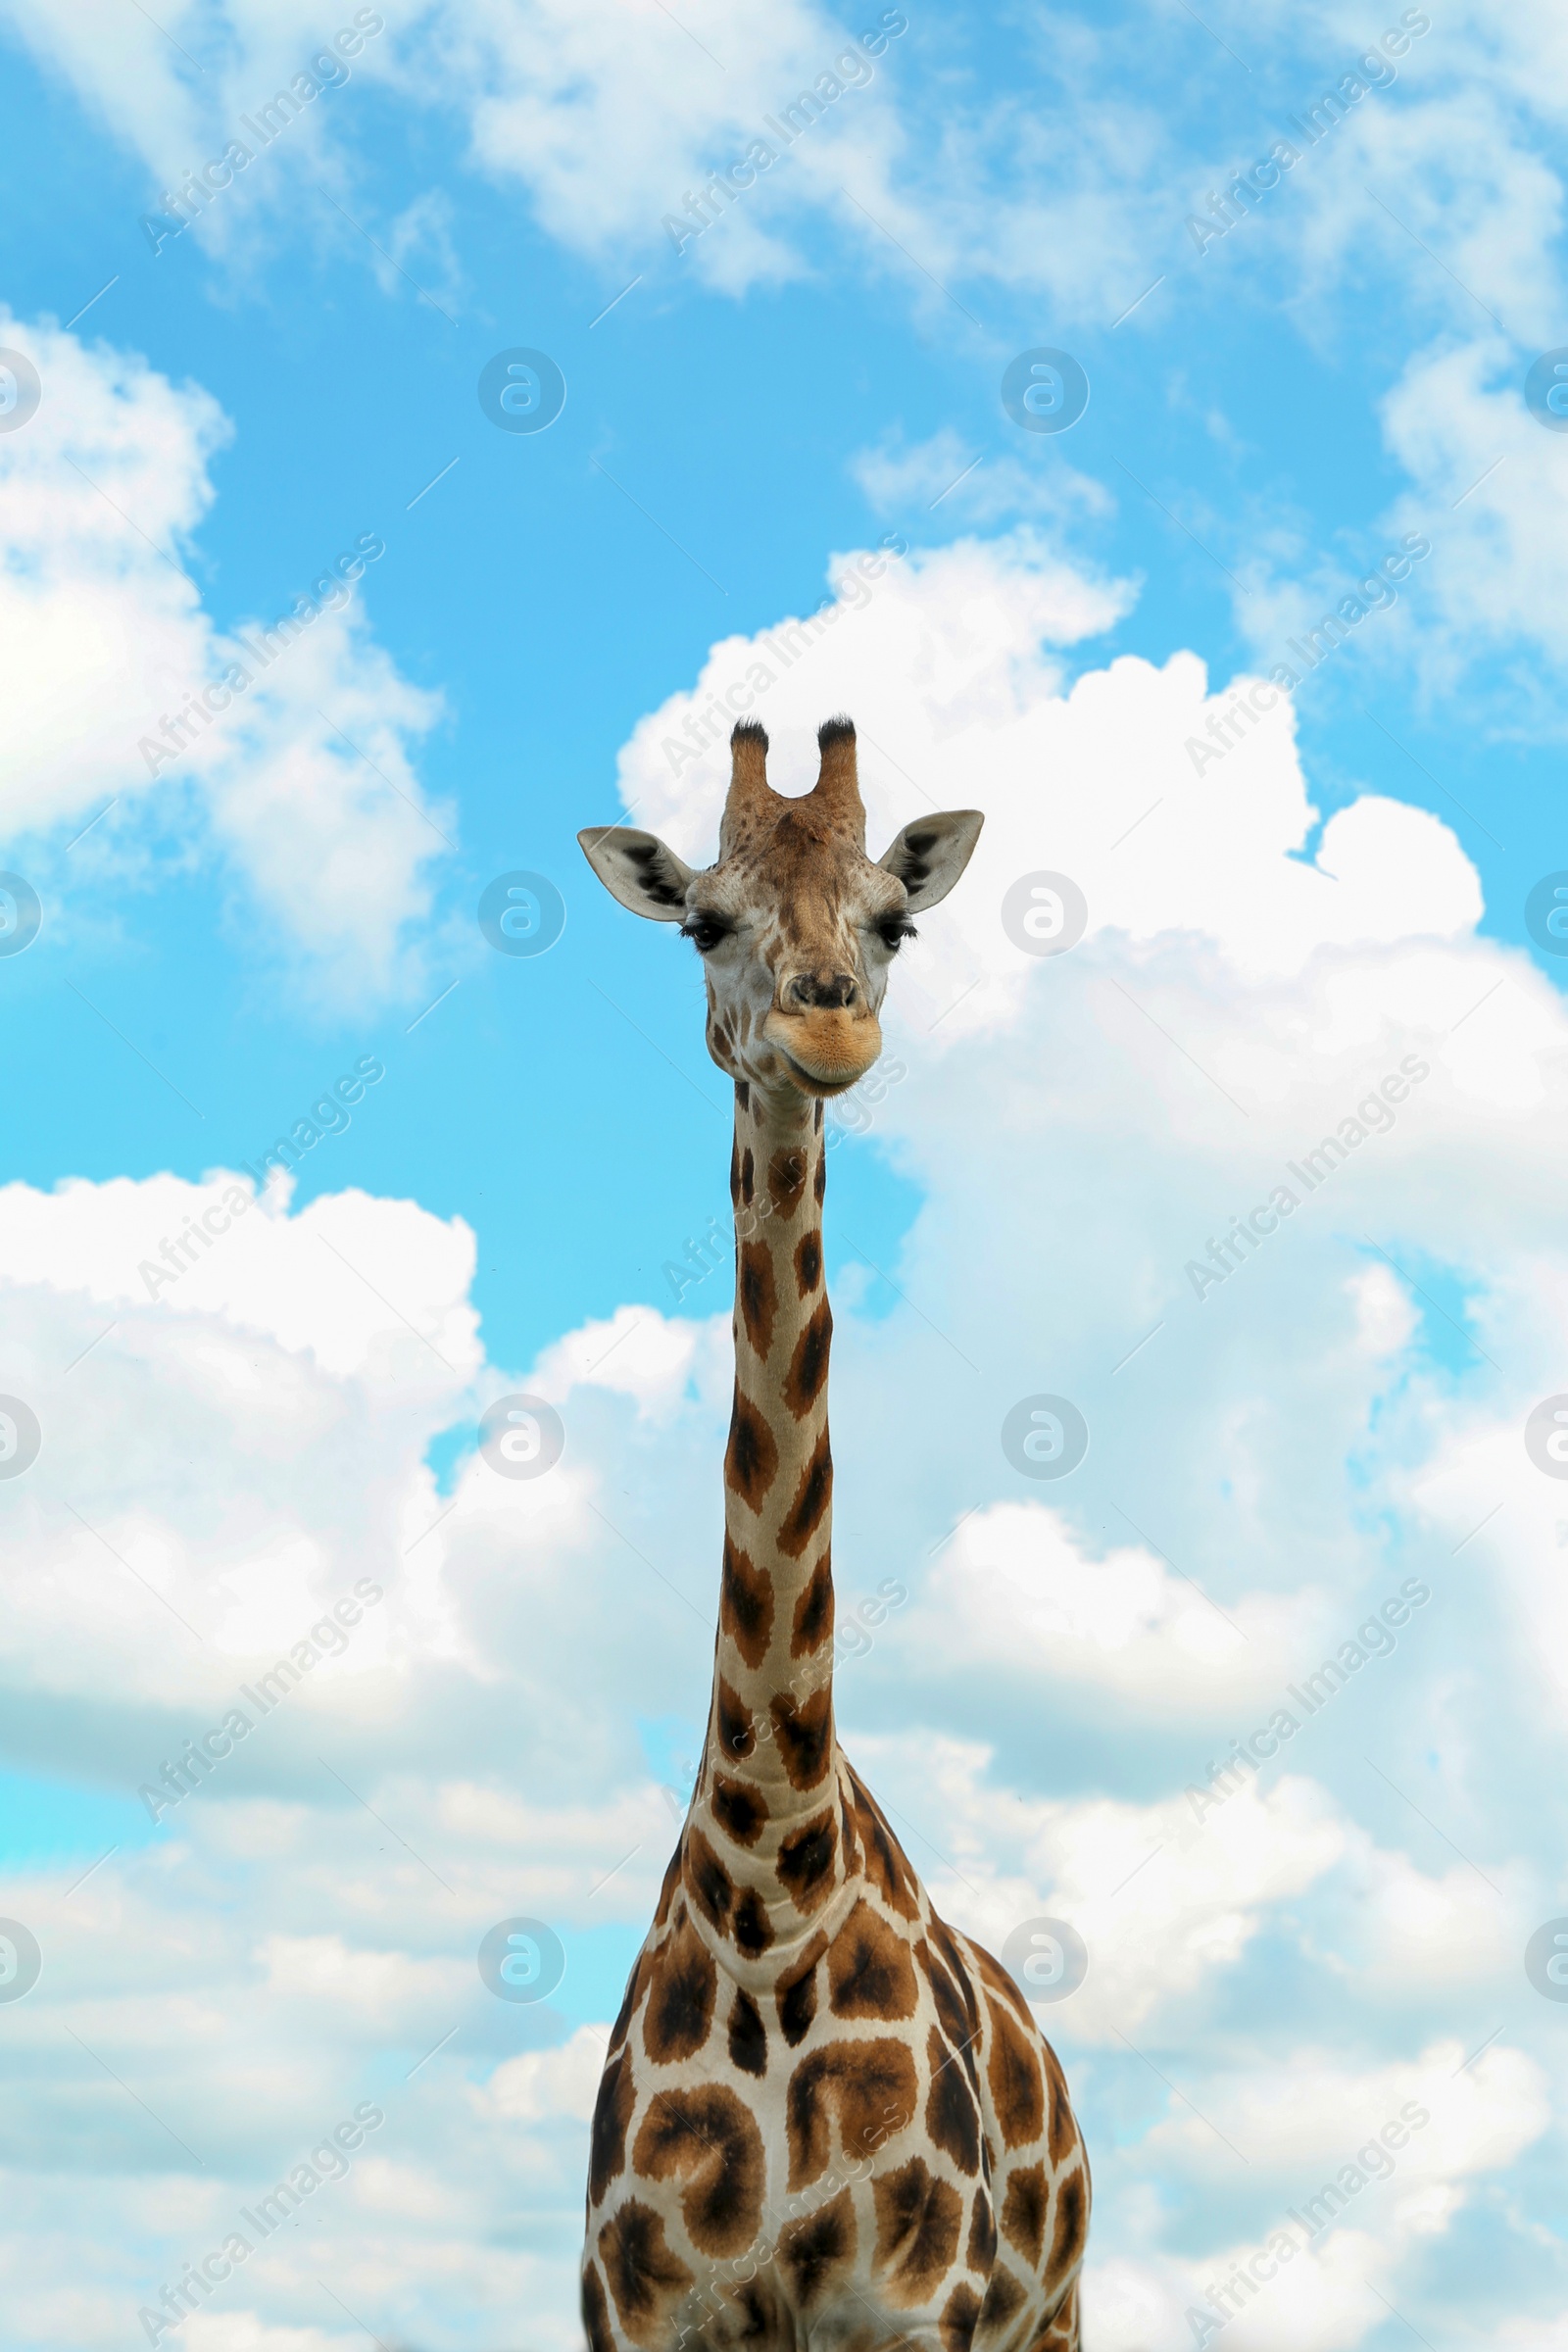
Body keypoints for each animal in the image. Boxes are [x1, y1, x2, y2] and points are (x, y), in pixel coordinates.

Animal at [575, 719, 1091, 2352]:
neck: (770, 1884)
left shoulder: (914, 2308)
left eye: (894, 922)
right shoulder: (641, 2314)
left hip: (1052, 2314)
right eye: (702, 920)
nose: (834, 1033)